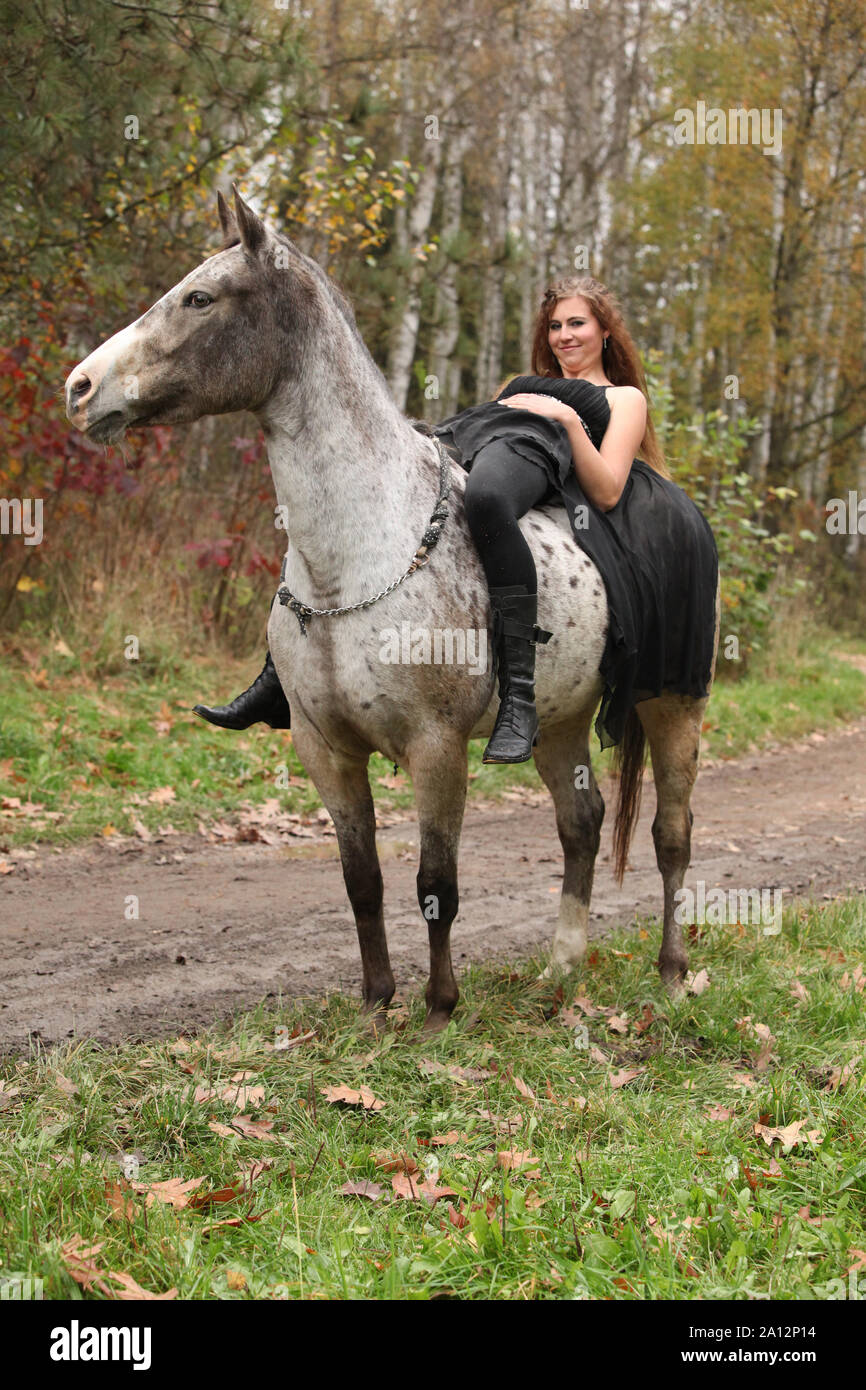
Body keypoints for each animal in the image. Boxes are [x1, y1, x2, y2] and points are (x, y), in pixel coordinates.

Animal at [65, 185, 720, 1030]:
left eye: (200, 298)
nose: (80, 389)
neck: (357, 553)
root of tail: (675, 503)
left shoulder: (436, 750)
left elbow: (435, 883)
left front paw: (439, 1009)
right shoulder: (326, 752)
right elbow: (363, 880)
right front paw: (377, 1002)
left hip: (673, 707)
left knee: (672, 834)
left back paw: (671, 974)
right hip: (561, 720)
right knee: (581, 826)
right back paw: (561, 972)